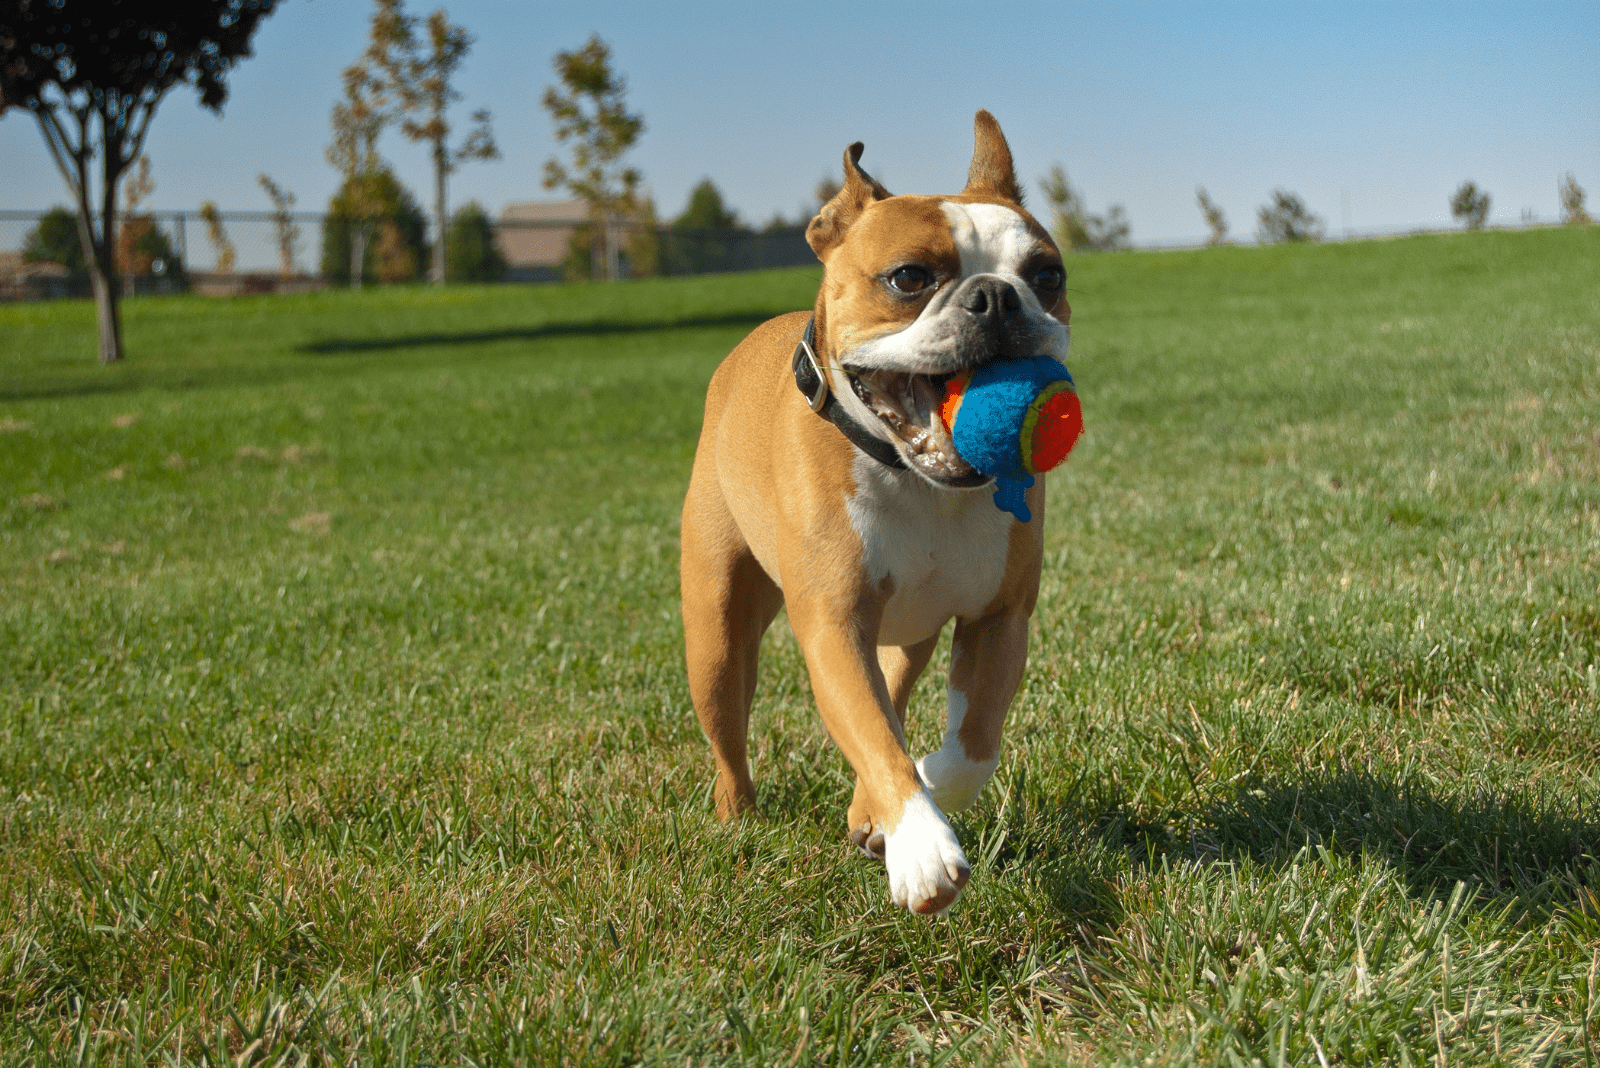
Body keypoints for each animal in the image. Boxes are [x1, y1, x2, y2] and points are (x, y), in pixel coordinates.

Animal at [675, 110, 1062, 920]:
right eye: (910, 277)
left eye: (1048, 275)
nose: (997, 297)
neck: (921, 482)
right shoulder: (833, 627)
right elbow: (876, 737)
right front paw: (923, 849)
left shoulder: (999, 619)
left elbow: (970, 743)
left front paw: (913, 802)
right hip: (717, 635)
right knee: (730, 729)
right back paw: (736, 818)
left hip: (906, 637)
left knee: (894, 694)